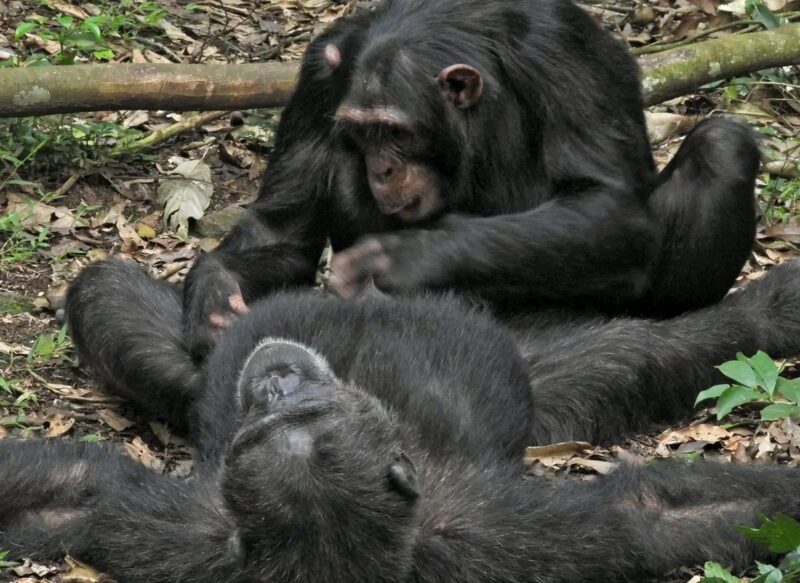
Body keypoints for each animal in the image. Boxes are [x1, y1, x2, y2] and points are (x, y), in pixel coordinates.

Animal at [1, 262, 800, 580]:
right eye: (259, 430)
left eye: (311, 412)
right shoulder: (166, 529)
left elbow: (658, 513)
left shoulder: (523, 536)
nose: (279, 382)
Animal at [183, 0, 764, 360]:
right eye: (361, 132)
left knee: (722, 146)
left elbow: (608, 204)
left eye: (394, 132)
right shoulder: (317, 74)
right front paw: (214, 294)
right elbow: (284, 229)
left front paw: (406, 259)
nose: (381, 167)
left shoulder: (562, 57)